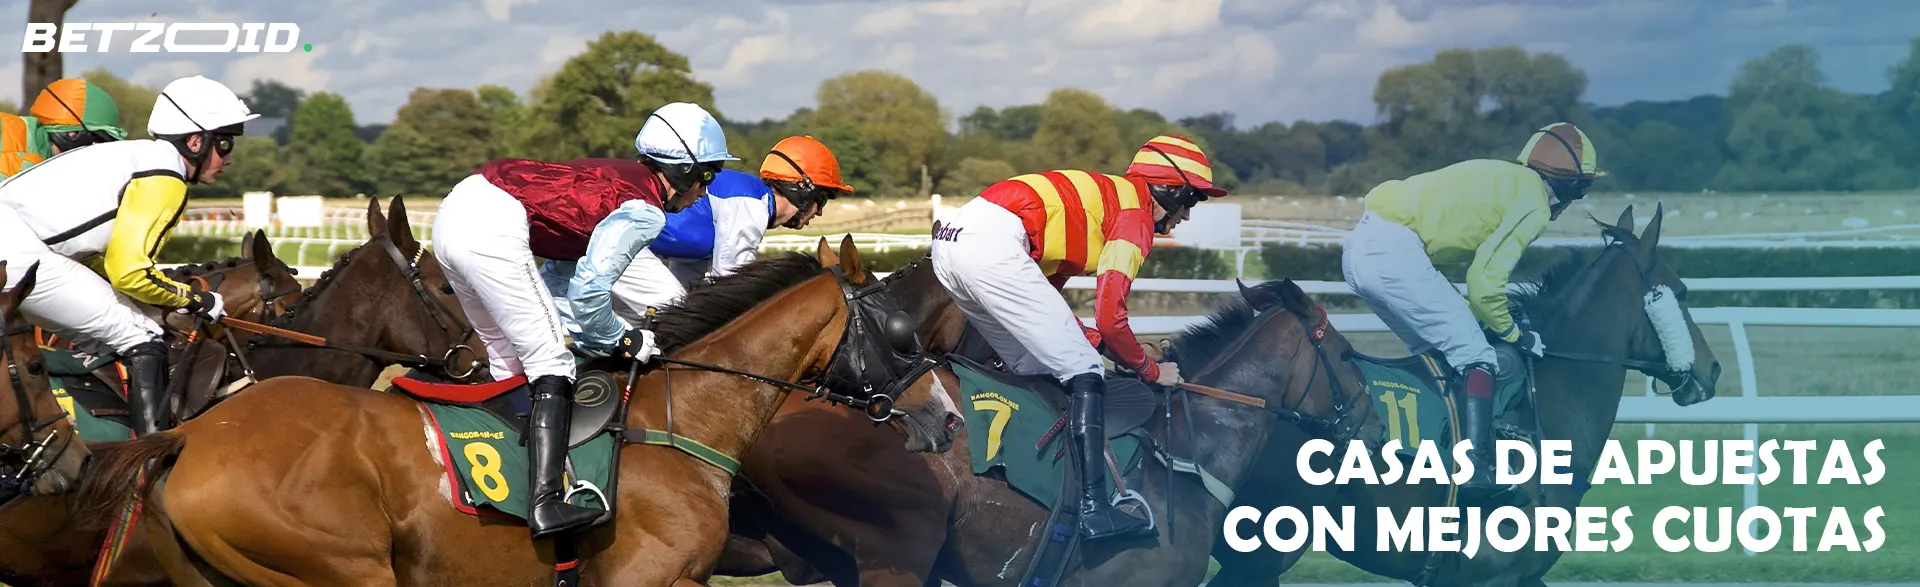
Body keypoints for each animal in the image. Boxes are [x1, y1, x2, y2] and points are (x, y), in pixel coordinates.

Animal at [75, 236, 963, 587]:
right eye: (900, 333)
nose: (949, 417)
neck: (684, 420)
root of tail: (187, 432)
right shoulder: (652, 579)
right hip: (341, 568)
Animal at [1206, 204, 1724, 587]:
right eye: (1681, 292)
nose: (1712, 369)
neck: (1538, 407)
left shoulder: (1516, 576)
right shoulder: (1493, 574)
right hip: (1262, 551)